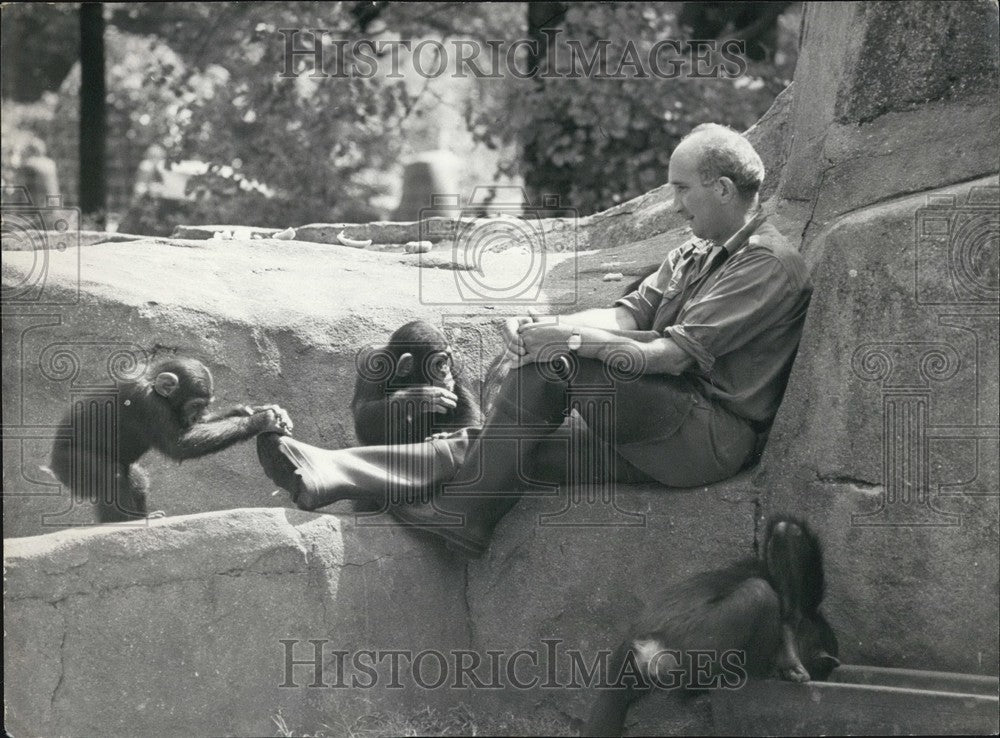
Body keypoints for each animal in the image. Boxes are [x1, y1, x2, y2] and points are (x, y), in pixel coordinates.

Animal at [49, 354, 292, 520]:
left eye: (205, 406)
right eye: (195, 405)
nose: (196, 416)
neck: (152, 383)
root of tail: (52, 465)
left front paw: (249, 410)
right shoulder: (147, 404)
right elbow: (178, 444)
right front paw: (262, 419)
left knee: (137, 479)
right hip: (69, 462)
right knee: (110, 475)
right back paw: (128, 521)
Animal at [354, 316, 482, 442]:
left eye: (446, 360)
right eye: (439, 363)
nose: (445, 370)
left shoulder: (456, 365)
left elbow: (468, 412)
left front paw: (446, 435)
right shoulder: (372, 365)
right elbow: (363, 416)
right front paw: (422, 396)